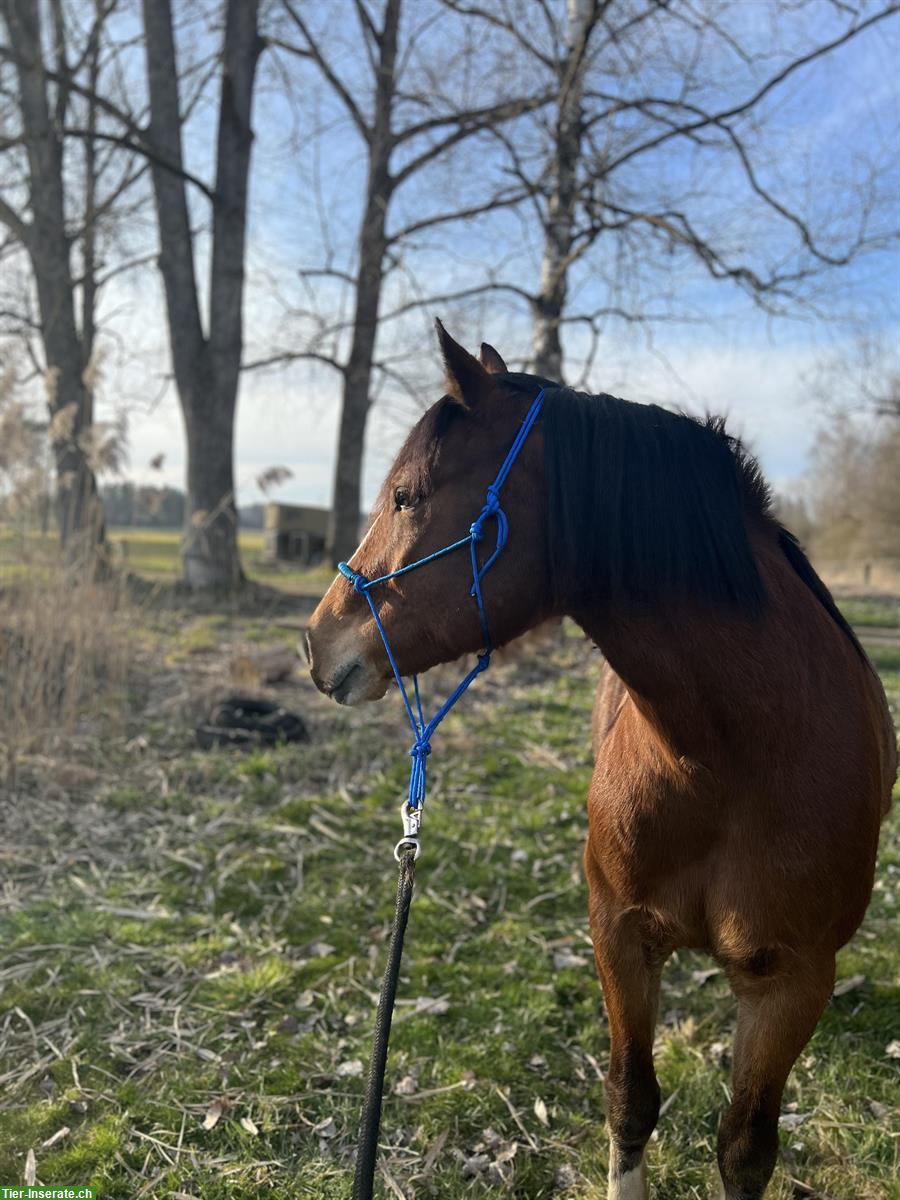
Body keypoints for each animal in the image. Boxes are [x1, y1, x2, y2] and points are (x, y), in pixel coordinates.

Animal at [309, 324, 897, 1195]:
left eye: (407, 496)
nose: (316, 641)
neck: (733, 759)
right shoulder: (619, 933)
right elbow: (630, 1098)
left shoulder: (790, 979)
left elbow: (745, 1144)